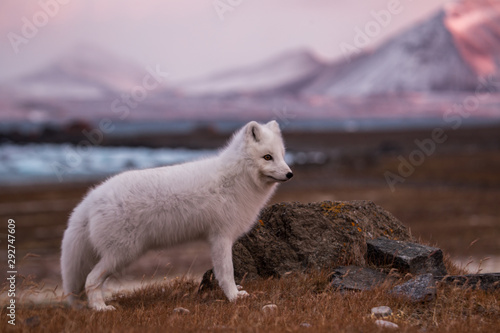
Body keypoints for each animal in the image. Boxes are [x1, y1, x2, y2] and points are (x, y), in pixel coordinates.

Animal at [59, 120, 292, 310]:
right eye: (267, 157)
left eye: (282, 155)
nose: (290, 174)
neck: (237, 178)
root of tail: (92, 197)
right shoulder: (221, 237)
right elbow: (226, 272)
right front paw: (233, 297)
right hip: (122, 254)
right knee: (90, 279)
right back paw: (100, 308)